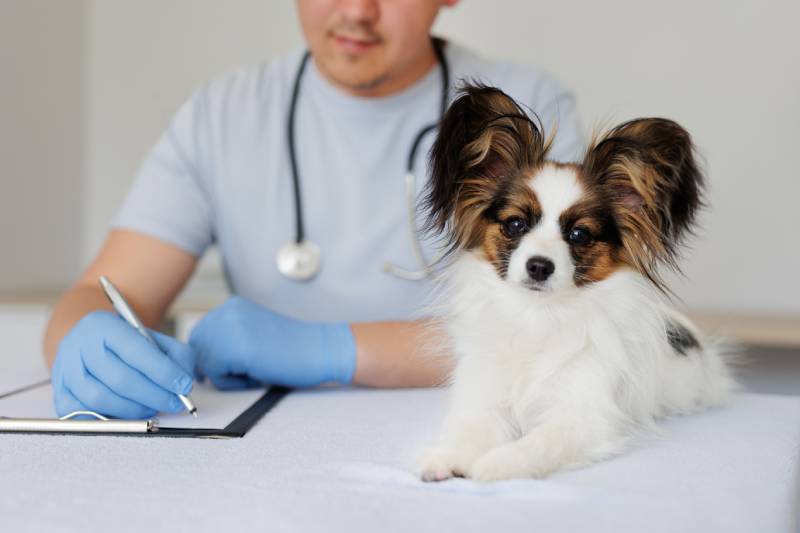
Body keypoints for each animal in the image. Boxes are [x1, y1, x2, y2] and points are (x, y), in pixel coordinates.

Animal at [418, 84, 736, 482]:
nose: (539, 266)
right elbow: (471, 430)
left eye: (579, 234)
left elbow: (537, 444)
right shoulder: (484, 398)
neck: (537, 315)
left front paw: (496, 464)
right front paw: (447, 457)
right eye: (515, 224)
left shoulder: (581, 416)